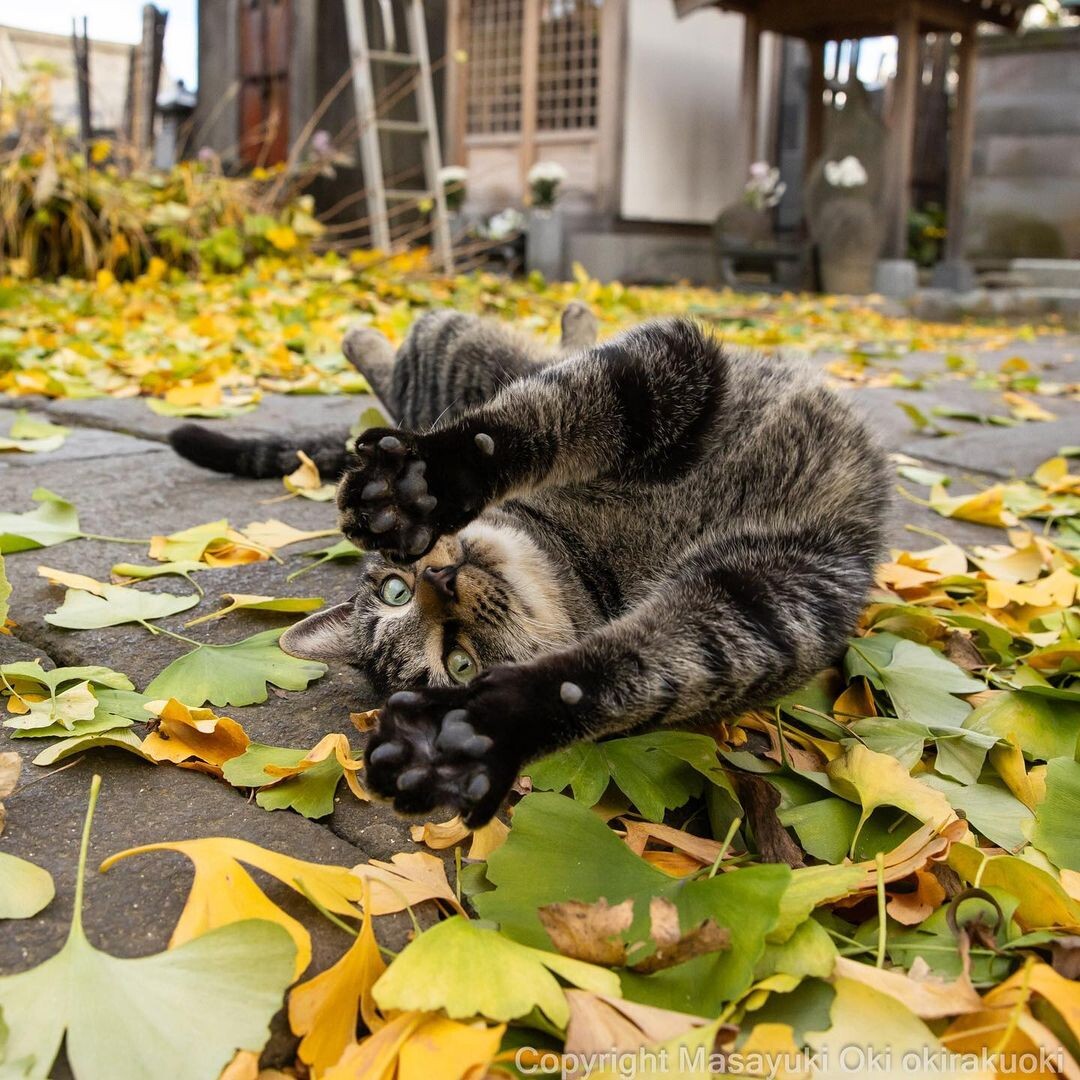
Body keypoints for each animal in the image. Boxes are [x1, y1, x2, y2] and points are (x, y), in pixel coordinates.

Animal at [172, 308, 889, 829]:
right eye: (458, 665)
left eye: (395, 590)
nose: (438, 582)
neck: (584, 550)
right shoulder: (762, 607)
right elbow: (611, 674)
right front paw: (479, 733)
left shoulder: (669, 372)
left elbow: (537, 419)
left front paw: (427, 480)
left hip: (456, 348)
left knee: (438, 364)